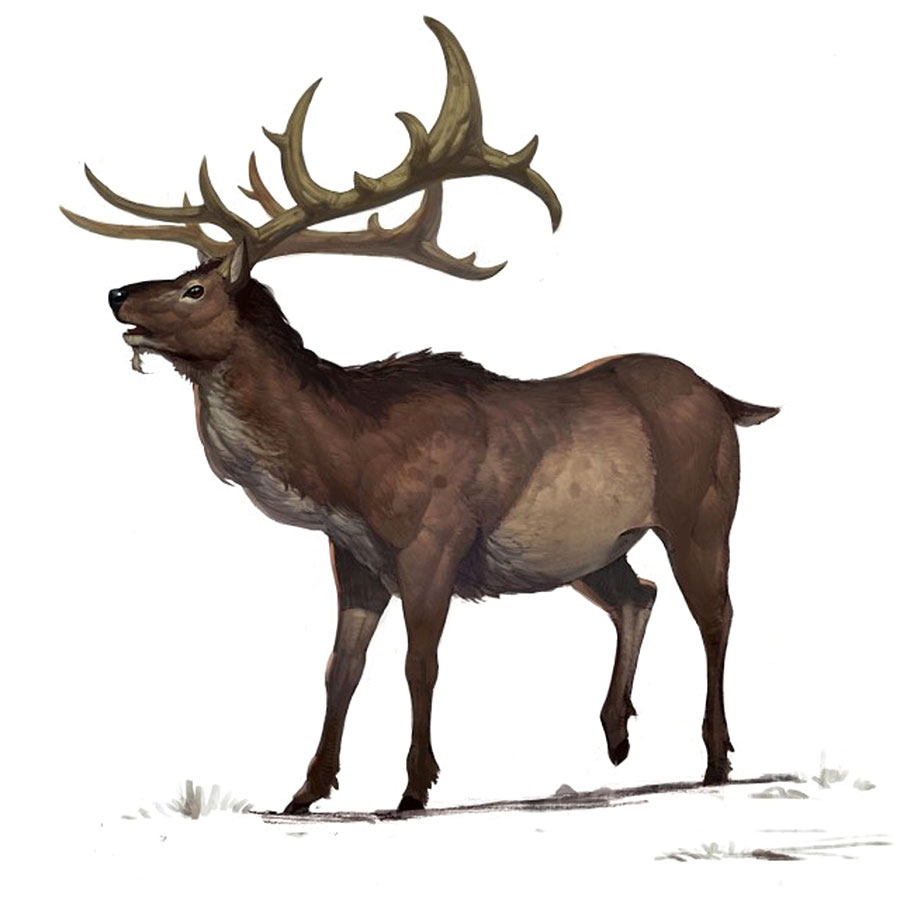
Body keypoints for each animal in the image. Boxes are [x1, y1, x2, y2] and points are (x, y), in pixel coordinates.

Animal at [62, 17, 779, 814]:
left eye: (194, 289)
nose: (116, 295)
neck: (345, 465)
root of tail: (726, 399)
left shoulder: (433, 540)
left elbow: (420, 663)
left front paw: (413, 786)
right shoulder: (353, 555)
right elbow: (339, 669)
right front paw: (305, 790)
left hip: (703, 509)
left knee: (717, 613)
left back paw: (715, 757)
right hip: (593, 547)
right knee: (638, 595)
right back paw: (617, 735)